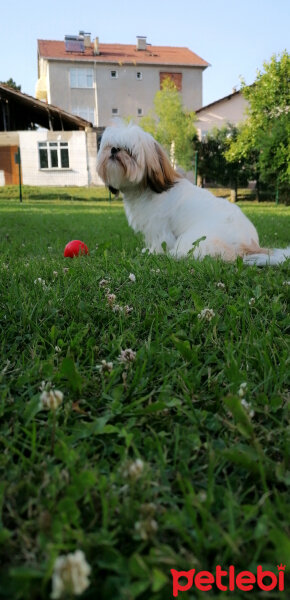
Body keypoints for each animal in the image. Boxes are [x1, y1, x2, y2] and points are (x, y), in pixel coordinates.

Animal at [98, 122, 290, 264]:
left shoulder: (160, 227)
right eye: (109, 146)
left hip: (197, 239)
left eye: (128, 151)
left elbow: (159, 242)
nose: (114, 150)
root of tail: (250, 244)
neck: (145, 189)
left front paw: (153, 252)